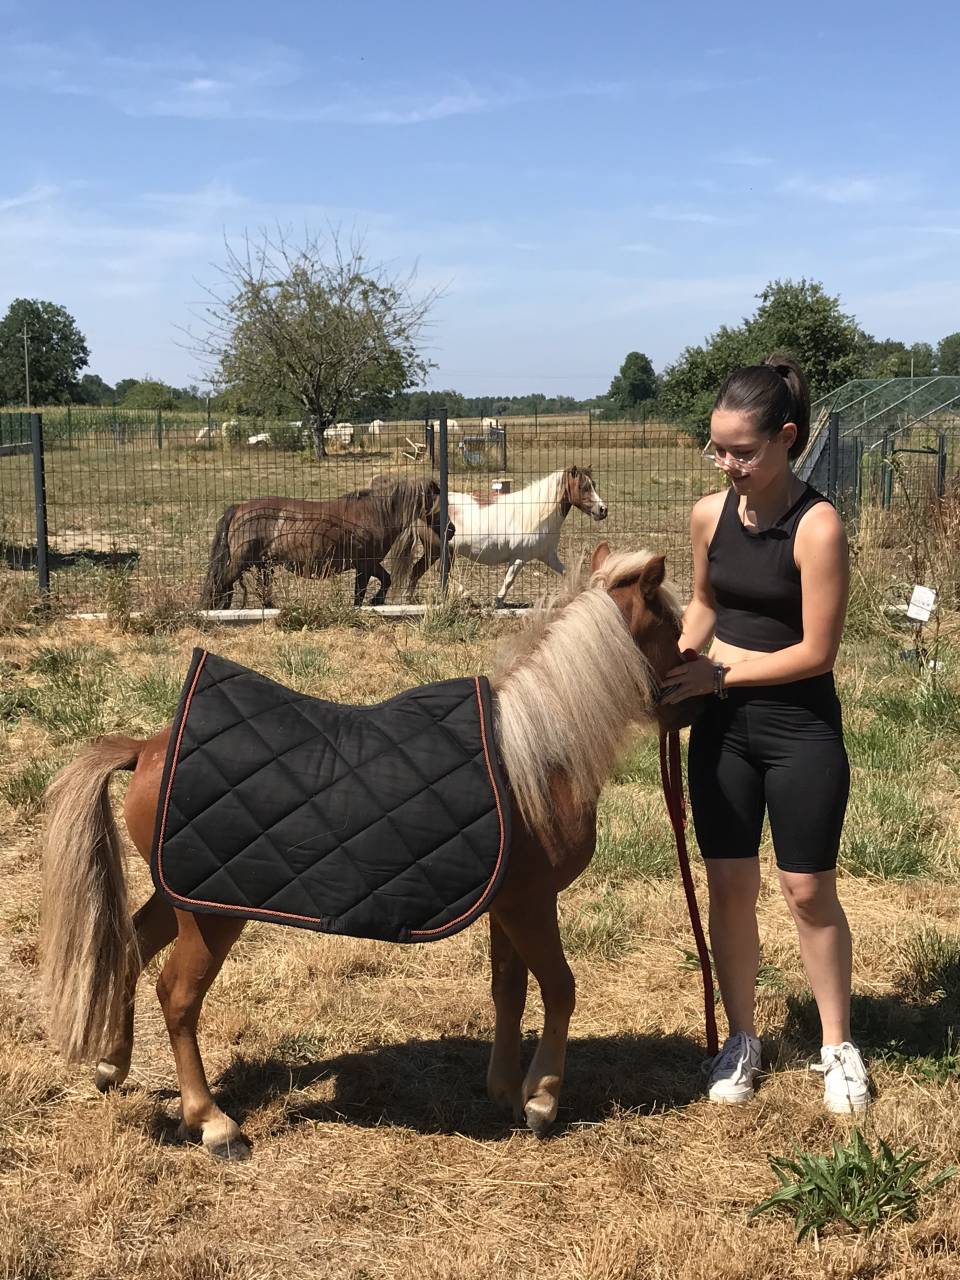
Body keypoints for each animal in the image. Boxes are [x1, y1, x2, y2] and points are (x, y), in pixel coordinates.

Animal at [39, 542, 701, 1161]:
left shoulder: (507, 904)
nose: (697, 701)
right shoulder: (532, 903)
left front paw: (505, 1090)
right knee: (177, 997)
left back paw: (112, 1066)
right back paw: (213, 1123)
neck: (535, 754)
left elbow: (509, 988)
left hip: (182, 894)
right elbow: (561, 987)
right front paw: (542, 1100)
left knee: (127, 950)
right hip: (211, 914)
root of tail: (148, 749)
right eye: (672, 626)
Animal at [199, 476, 449, 610]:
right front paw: (373, 602)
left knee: (259, 590)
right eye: (439, 507)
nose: (452, 530)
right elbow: (368, 589)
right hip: (242, 562)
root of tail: (239, 508)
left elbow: (378, 584)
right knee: (221, 582)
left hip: (264, 565)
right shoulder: (365, 565)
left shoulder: (367, 565)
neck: (376, 513)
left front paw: (374, 602)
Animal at [408, 465, 609, 607]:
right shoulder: (520, 558)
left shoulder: (548, 556)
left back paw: (408, 599)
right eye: (583, 487)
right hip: (440, 550)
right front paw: (498, 602)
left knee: (417, 571)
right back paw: (463, 593)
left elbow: (568, 574)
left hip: (437, 551)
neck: (537, 514)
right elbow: (509, 580)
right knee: (439, 572)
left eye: (594, 485)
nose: (603, 510)